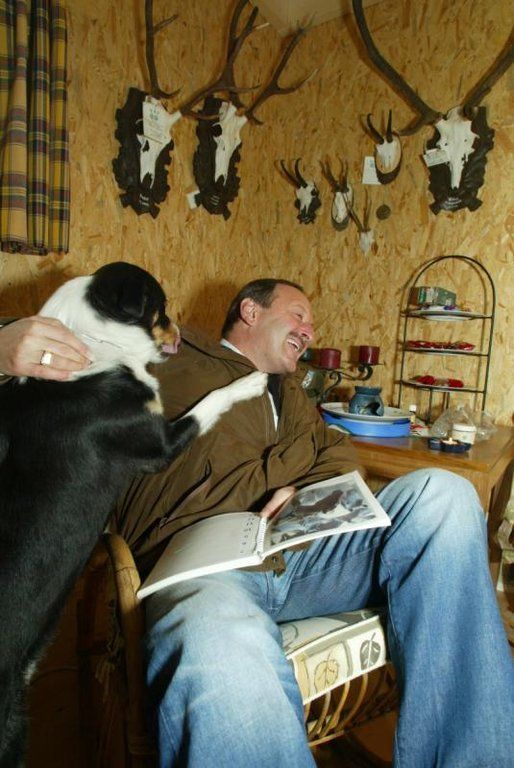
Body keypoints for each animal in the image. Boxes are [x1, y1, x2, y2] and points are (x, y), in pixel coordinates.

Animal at [0, 261, 267, 767]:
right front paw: (250, 382)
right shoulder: (160, 443)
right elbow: (211, 401)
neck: (93, 343)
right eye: (160, 309)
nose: (179, 333)